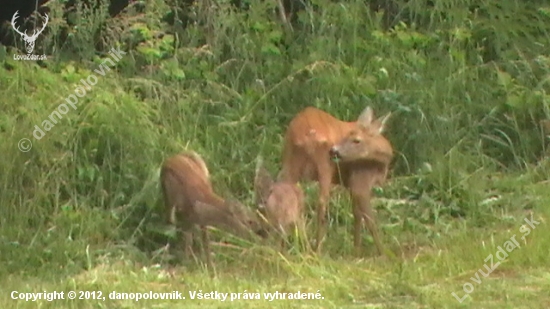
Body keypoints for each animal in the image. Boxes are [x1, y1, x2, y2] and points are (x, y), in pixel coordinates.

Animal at [280, 106, 392, 255]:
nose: (334, 151)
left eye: (356, 140)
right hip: (324, 164)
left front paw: (356, 249)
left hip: (289, 161)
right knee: (321, 202)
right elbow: (369, 219)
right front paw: (383, 253)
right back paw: (317, 248)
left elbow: (357, 214)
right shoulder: (360, 180)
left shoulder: (351, 184)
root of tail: (304, 133)